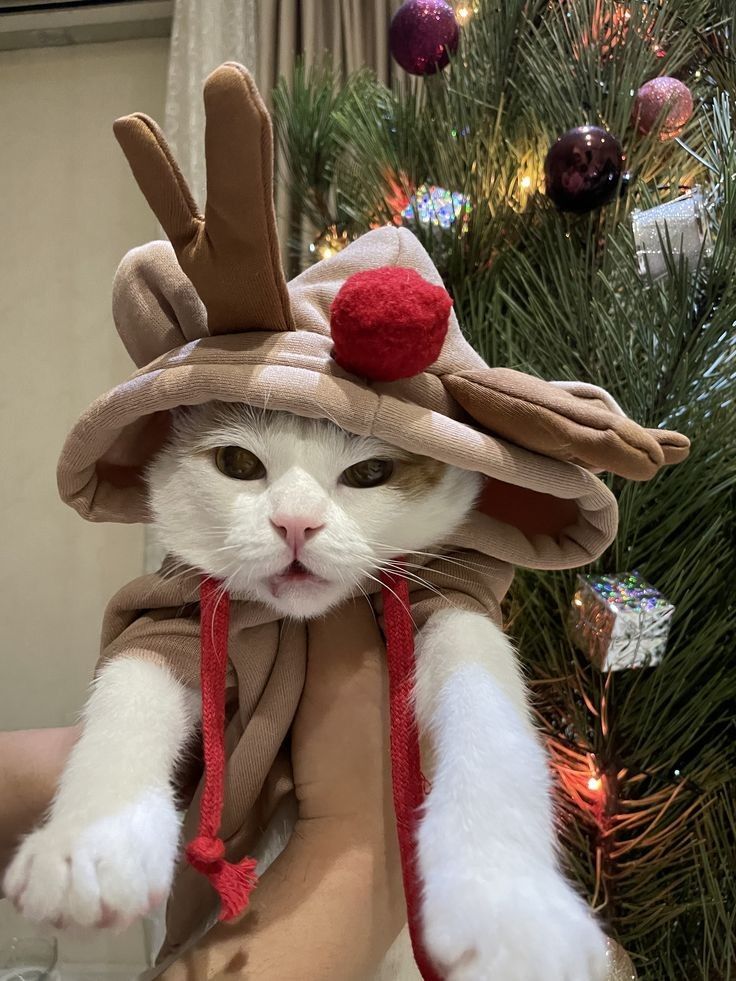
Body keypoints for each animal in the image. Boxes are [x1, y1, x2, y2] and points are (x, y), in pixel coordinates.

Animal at [2, 404, 608, 980]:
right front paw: (90, 840)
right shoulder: (179, 617)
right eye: (237, 463)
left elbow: (486, 701)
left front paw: (508, 902)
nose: (295, 523)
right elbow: (132, 686)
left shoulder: (450, 597)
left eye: (370, 472)